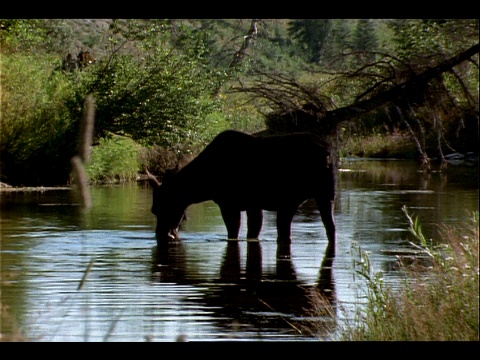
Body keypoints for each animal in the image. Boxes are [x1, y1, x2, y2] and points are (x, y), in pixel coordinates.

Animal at [147, 129, 338, 256]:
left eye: (162, 207)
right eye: (154, 210)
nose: (162, 235)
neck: (204, 185)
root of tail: (328, 155)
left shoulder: (230, 204)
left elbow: (234, 233)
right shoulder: (253, 206)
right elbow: (252, 234)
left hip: (291, 199)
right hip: (326, 196)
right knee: (330, 228)